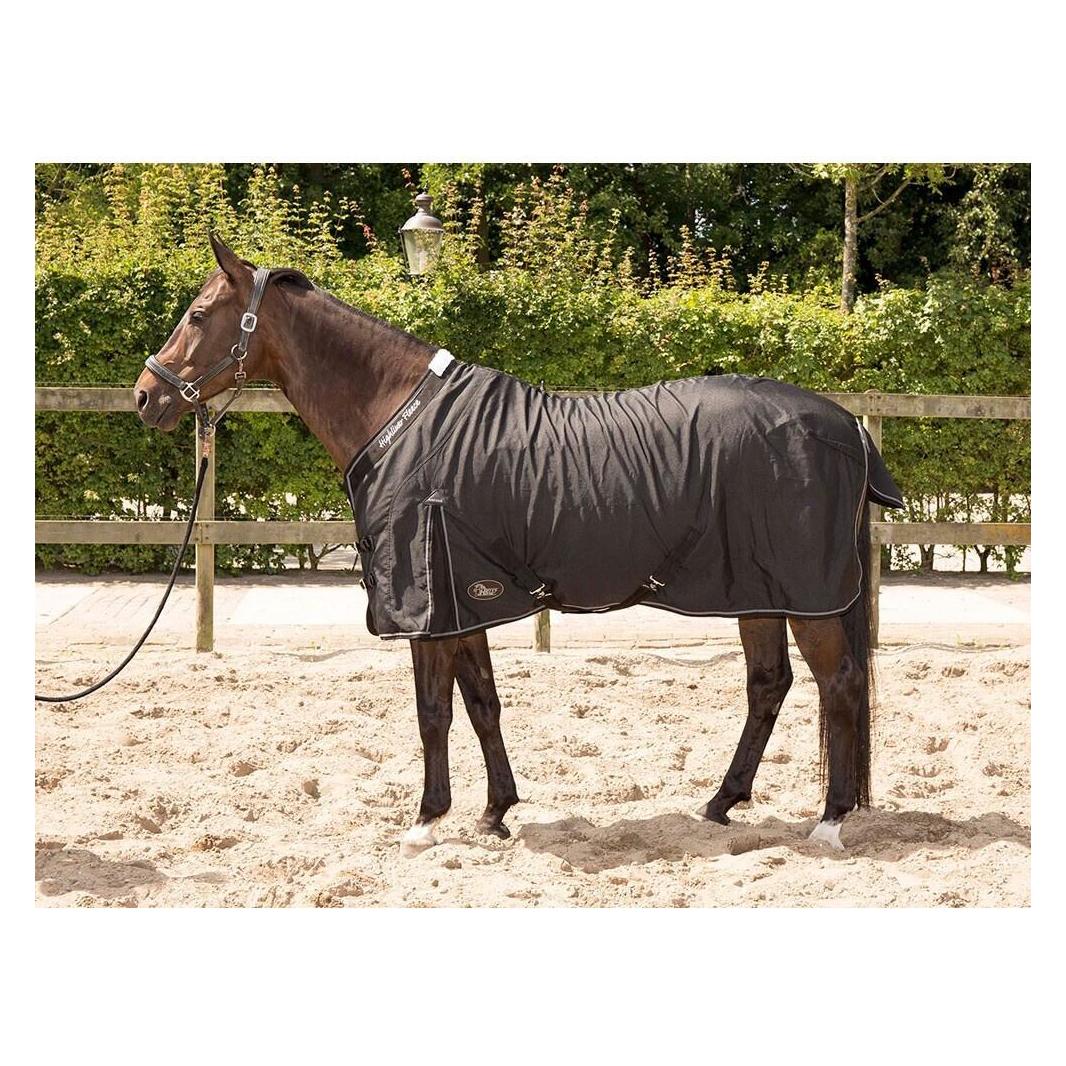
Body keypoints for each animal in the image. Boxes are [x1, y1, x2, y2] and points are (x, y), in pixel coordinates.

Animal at [134, 234, 902, 855]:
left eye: (197, 316)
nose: (146, 396)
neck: (400, 419)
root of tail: (844, 426)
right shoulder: (463, 601)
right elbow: (482, 704)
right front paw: (494, 813)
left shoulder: (429, 606)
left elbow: (434, 712)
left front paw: (426, 822)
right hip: (757, 590)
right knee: (769, 684)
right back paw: (720, 803)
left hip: (805, 597)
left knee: (838, 683)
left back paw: (829, 821)